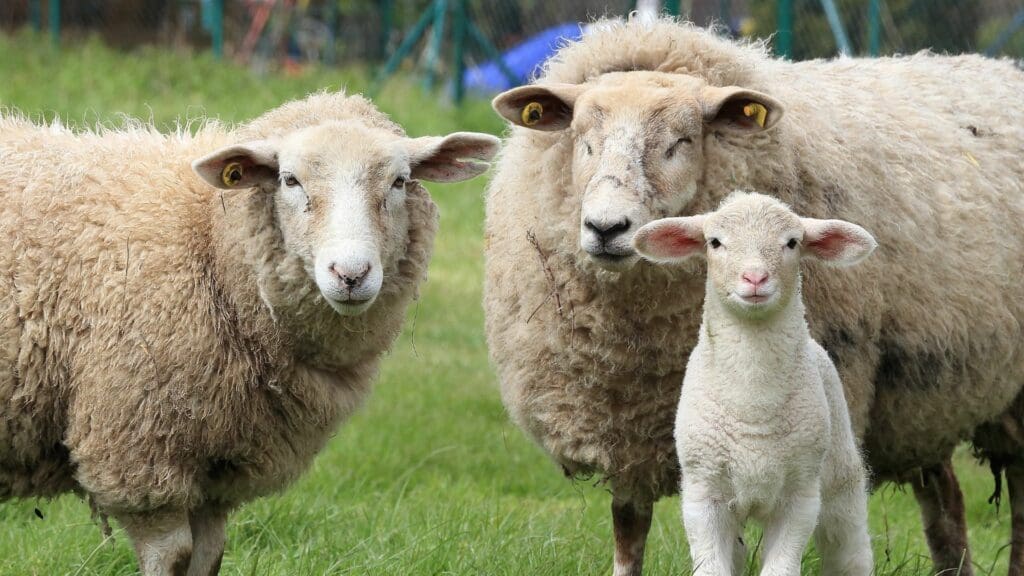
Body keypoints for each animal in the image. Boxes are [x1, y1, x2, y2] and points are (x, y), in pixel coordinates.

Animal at [0, 91, 499, 576]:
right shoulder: (137, 452)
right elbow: (172, 555)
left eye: (398, 181)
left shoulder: (218, 473)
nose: (351, 274)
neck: (208, 239)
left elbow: (208, 557)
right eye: (289, 180)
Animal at [633, 192, 875, 576]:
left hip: (839, 476)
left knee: (849, 549)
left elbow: (780, 569)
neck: (753, 402)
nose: (755, 277)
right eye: (715, 242)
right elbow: (711, 568)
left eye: (792, 243)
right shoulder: (703, 494)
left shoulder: (800, 496)